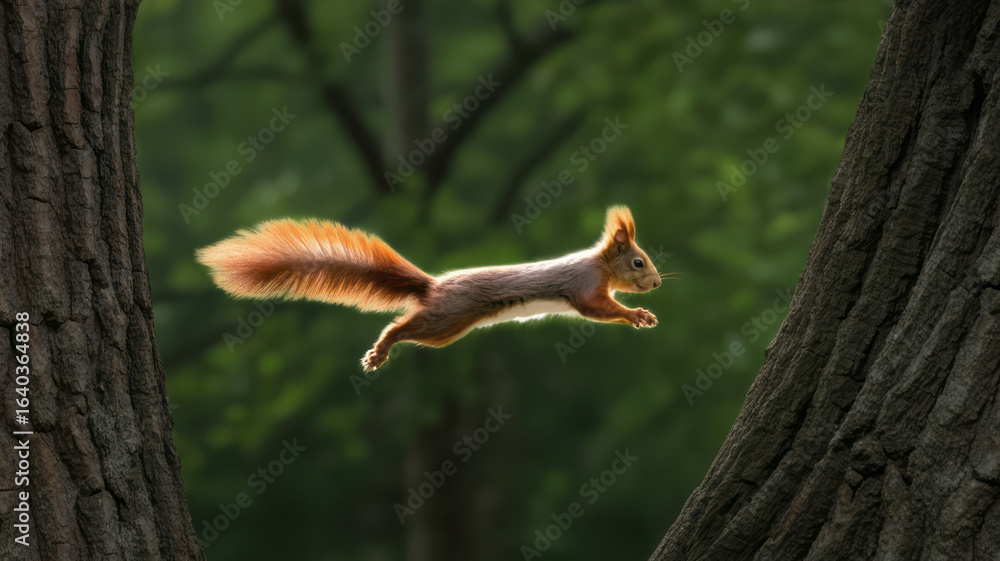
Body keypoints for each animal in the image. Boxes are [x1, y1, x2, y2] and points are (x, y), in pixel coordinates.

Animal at [196, 205, 663, 371]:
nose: (657, 282)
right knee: (401, 327)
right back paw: (380, 351)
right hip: (447, 321)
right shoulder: (584, 287)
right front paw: (638, 315)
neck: (600, 265)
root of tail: (433, 285)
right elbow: (599, 309)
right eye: (638, 262)